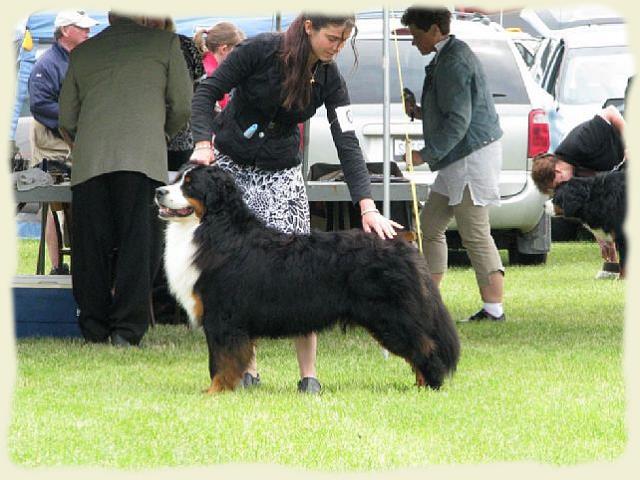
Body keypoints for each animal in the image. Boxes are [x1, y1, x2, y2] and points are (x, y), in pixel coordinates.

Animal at [156, 165, 460, 394]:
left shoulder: (223, 317)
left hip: (392, 317)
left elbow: (221, 362)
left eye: (190, 185)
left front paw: (215, 392)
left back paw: (430, 385)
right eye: (177, 179)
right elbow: (224, 360)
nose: (159, 192)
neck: (215, 229)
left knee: (425, 346)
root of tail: (402, 242)